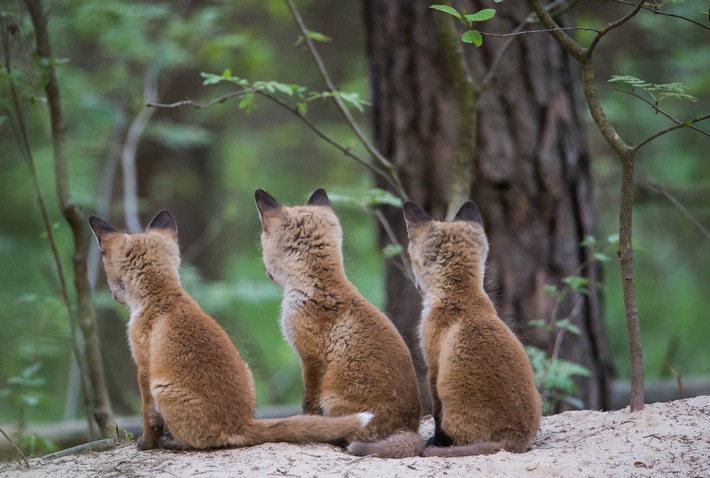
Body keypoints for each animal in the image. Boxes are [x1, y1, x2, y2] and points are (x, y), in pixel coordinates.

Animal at [89, 211, 372, 450]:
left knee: (199, 443)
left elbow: (148, 415)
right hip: (246, 371)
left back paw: (174, 442)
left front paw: (145, 444)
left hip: (163, 388)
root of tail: (240, 422)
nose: (113, 296)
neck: (162, 297)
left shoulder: (144, 367)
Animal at [404, 200, 544, 458]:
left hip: (455, 411)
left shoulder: (433, 365)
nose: (416, 284)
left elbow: (436, 414)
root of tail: (514, 442)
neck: (462, 300)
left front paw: (437, 441)